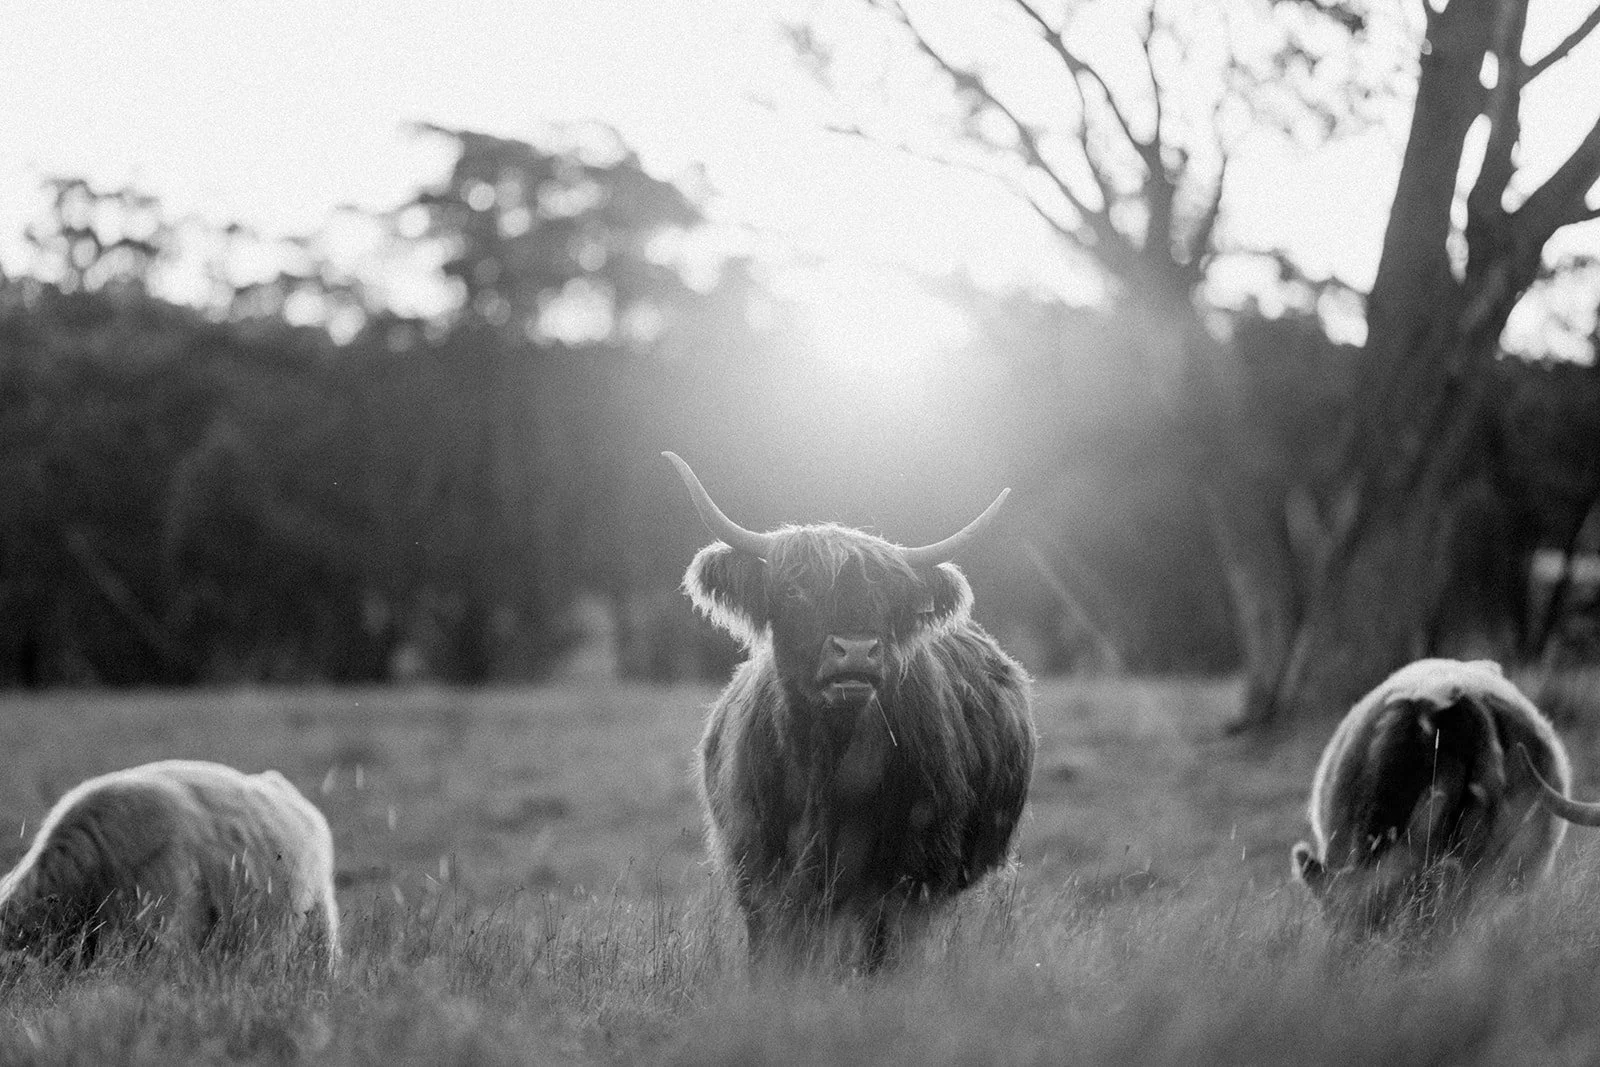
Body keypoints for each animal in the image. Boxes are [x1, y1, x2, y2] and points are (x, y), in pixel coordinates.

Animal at [664, 451, 1036, 973]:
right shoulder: (760, 874)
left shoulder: (906, 879)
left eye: (888, 600)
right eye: (796, 592)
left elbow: (880, 962)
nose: (856, 651)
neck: (827, 764)